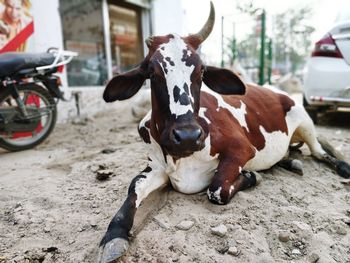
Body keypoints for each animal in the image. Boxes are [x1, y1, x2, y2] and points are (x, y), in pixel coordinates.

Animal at [96, 2, 350, 263]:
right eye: (152, 73)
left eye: (201, 71)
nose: (187, 136)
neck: (182, 157)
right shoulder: (156, 166)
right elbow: (133, 188)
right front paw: (115, 234)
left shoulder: (241, 148)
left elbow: (217, 189)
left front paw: (251, 175)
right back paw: (291, 162)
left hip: (305, 122)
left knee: (319, 152)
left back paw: (340, 166)